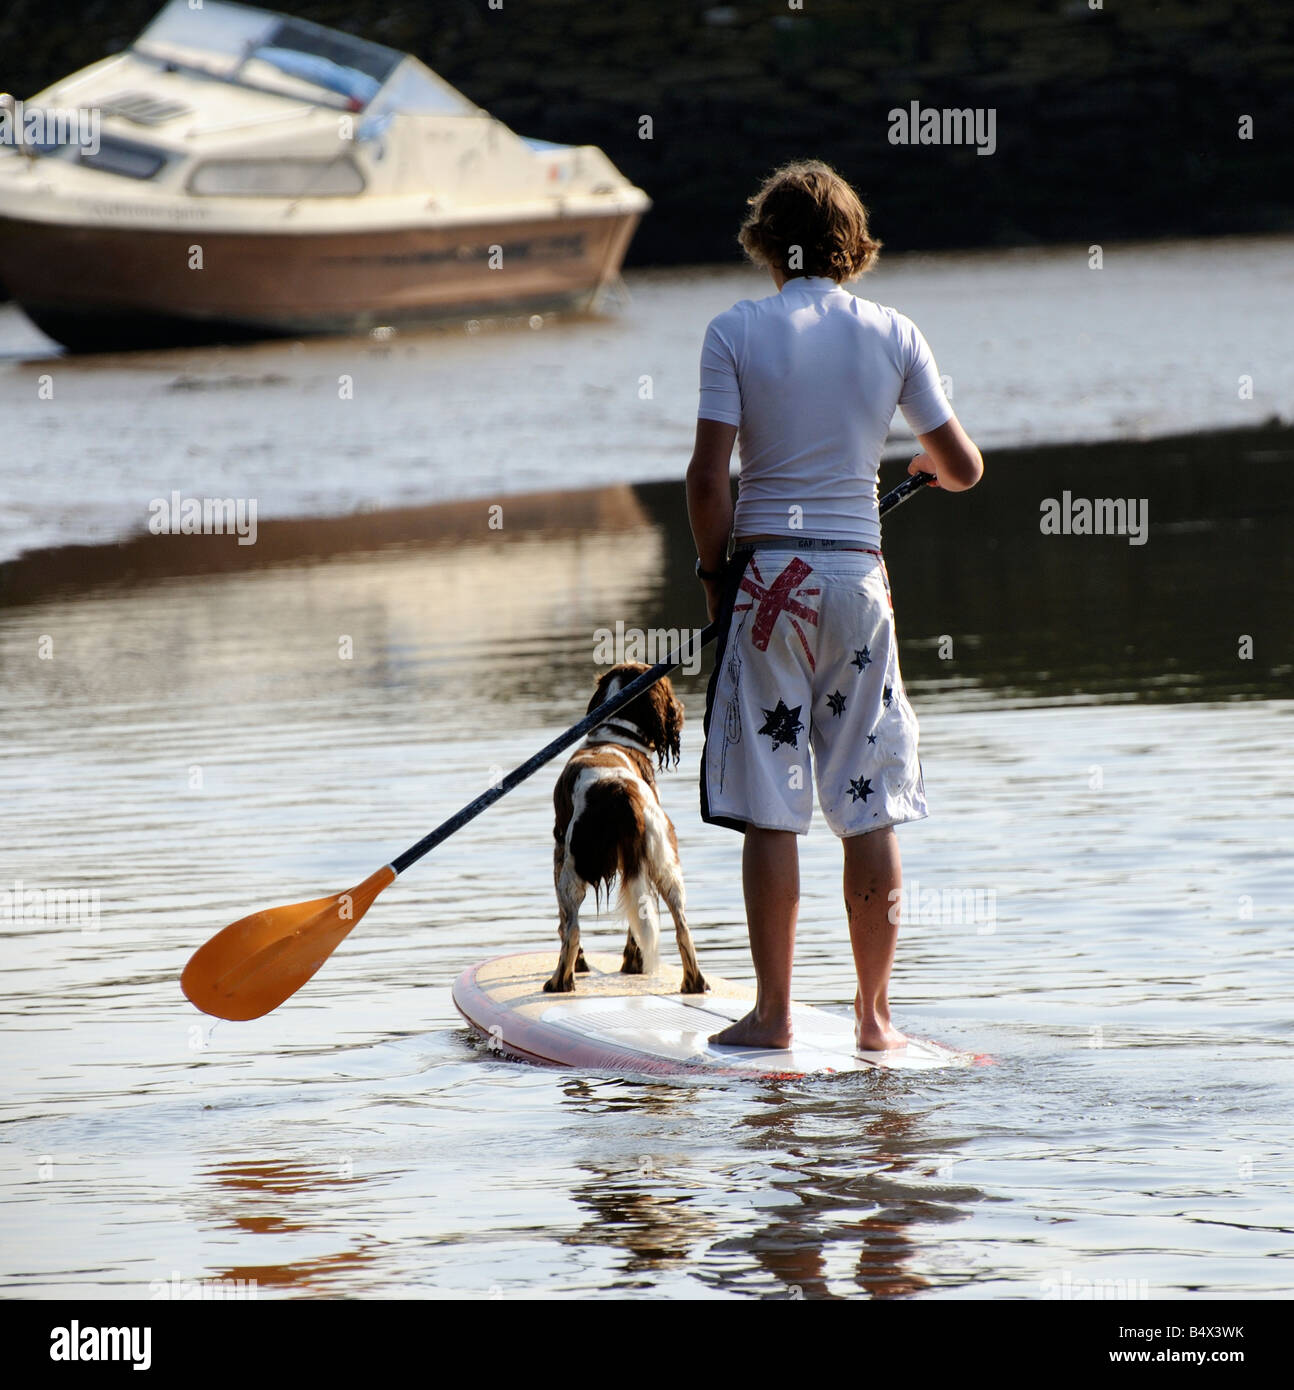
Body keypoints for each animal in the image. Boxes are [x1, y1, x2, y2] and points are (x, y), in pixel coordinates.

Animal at [544, 667, 708, 995]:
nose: (682, 709)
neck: (616, 734)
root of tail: (621, 790)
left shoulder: (558, 851)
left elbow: (562, 922)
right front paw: (634, 963)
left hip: (573, 869)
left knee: (573, 929)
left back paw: (560, 982)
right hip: (665, 863)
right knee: (681, 927)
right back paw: (693, 984)